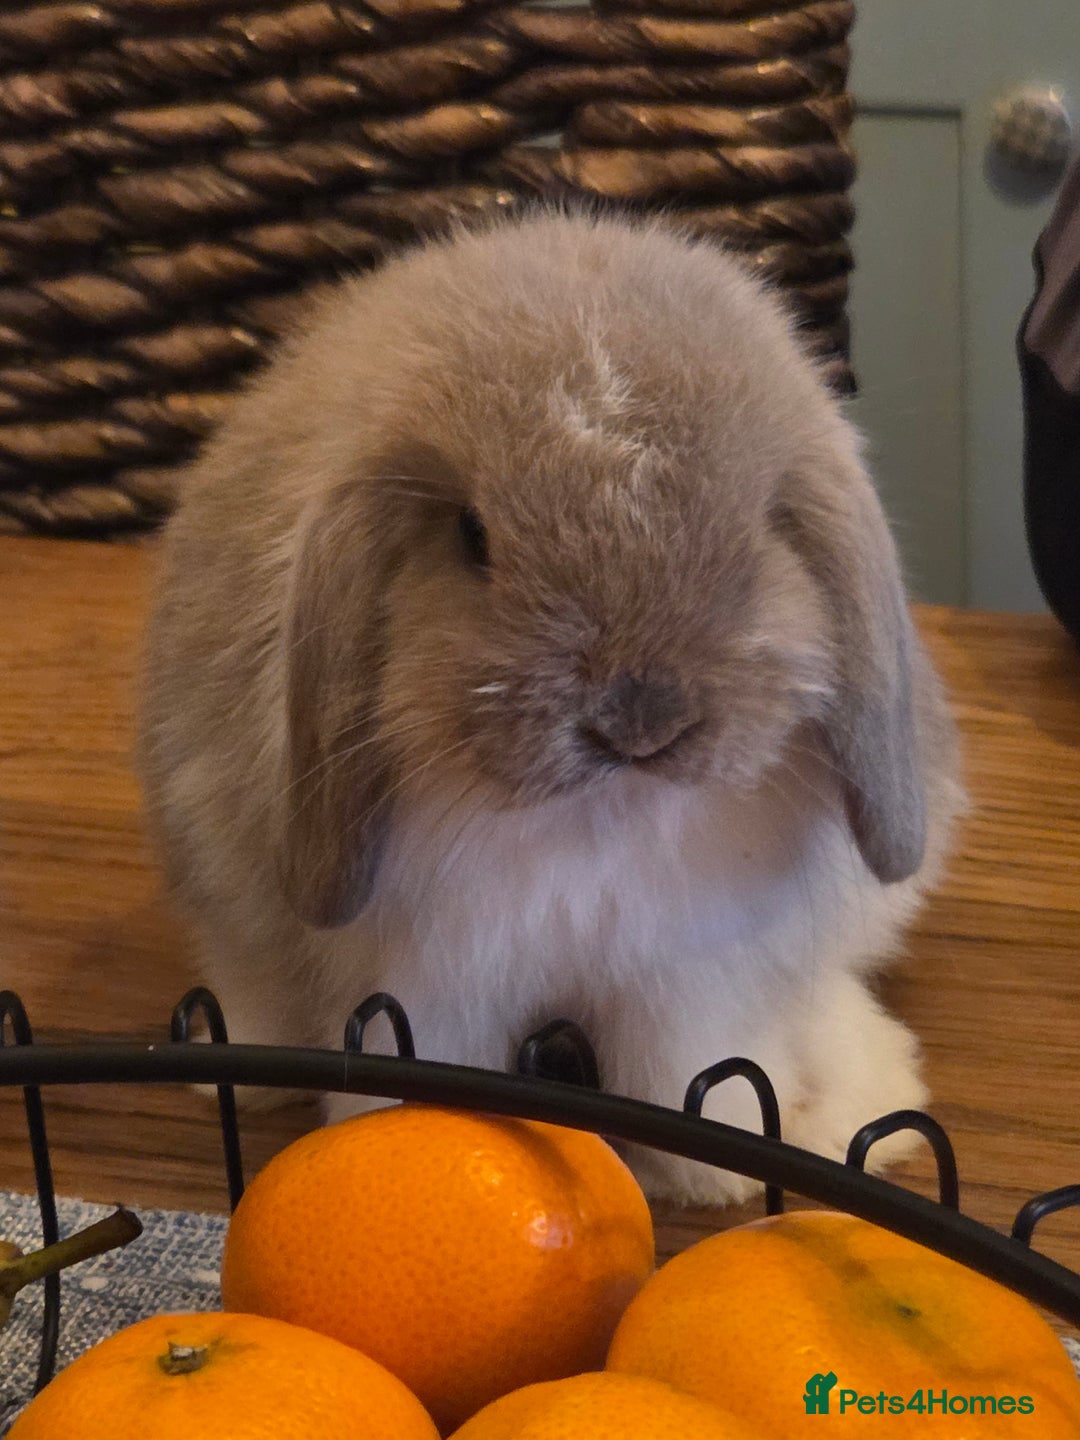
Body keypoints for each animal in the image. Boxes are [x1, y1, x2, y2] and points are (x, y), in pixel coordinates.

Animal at [136, 209, 964, 1204]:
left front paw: (712, 1177)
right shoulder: (432, 969)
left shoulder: (684, 974)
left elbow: (688, 1073)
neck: (594, 819)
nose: (639, 720)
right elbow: (420, 1067)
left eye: (761, 529)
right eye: (473, 536)